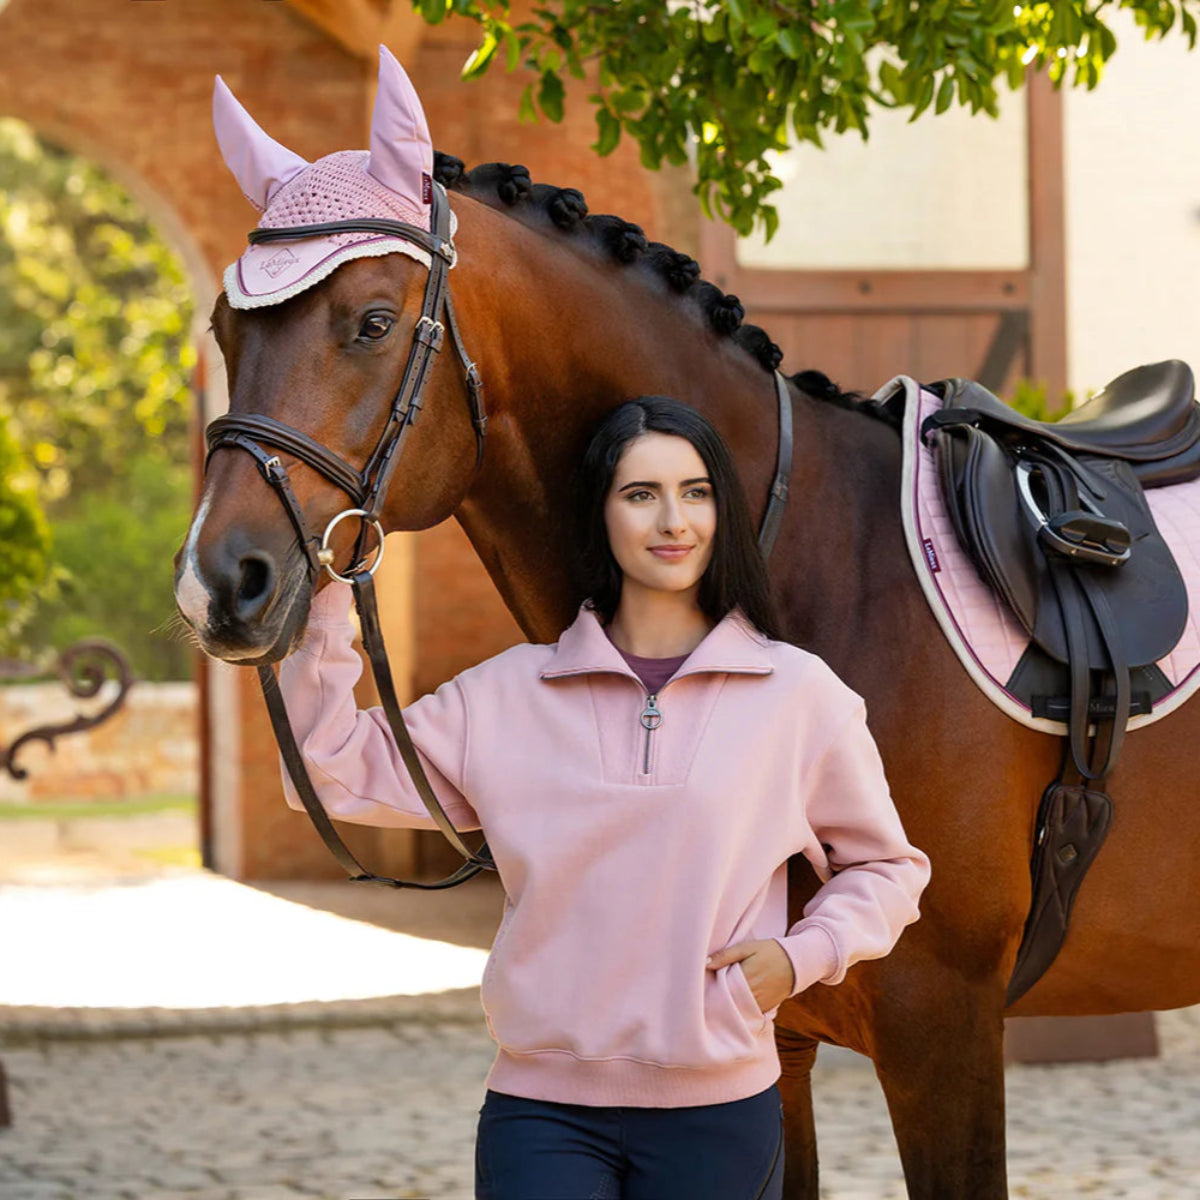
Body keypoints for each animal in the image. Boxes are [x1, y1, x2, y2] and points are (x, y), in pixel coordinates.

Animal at [174, 114, 1200, 1200]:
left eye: (372, 321)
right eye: (225, 331)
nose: (218, 583)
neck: (824, 565)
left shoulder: (943, 1027)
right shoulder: (779, 1039)